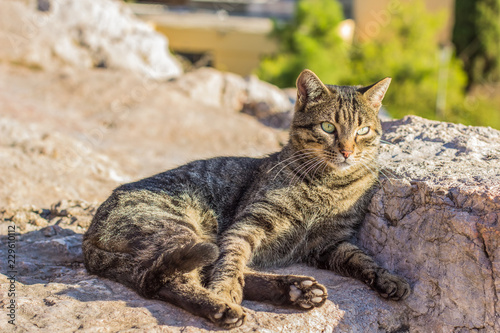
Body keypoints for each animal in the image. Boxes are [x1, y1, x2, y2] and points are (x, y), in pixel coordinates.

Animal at [82, 69, 410, 326]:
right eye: (328, 127)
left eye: (363, 130)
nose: (347, 151)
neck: (329, 184)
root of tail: (88, 236)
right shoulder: (250, 222)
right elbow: (231, 260)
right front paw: (224, 292)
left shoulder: (329, 243)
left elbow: (361, 258)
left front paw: (388, 279)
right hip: (179, 229)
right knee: (177, 279)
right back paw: (223, 306)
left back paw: (297, 289)